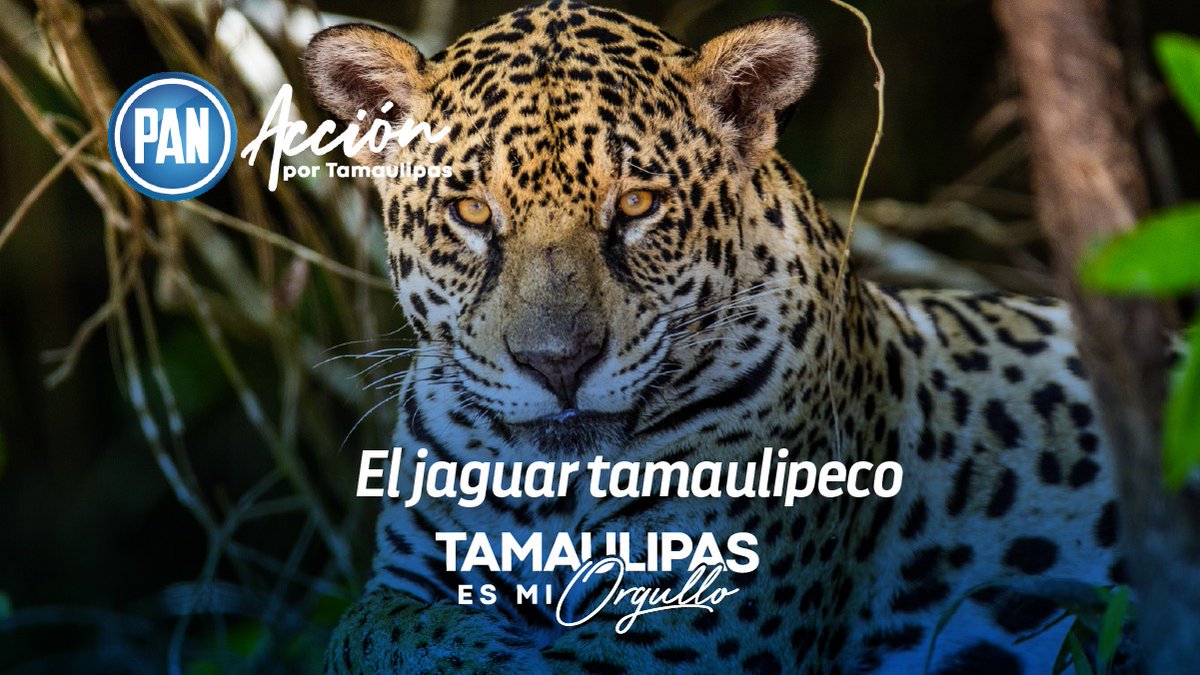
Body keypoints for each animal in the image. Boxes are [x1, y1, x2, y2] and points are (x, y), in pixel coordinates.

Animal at [303, 2, 1123, 673]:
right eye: (471, 211)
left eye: (637, 204)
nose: (558, 364)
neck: (552, 493)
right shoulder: (408, 576)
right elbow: (363, 628)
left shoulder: (689, 626)